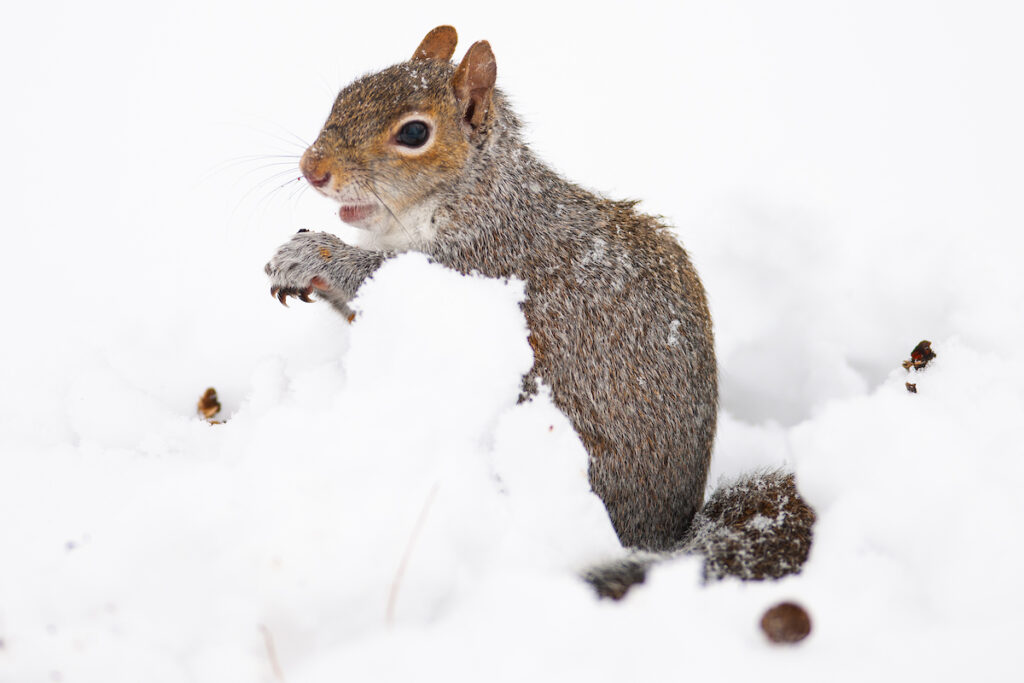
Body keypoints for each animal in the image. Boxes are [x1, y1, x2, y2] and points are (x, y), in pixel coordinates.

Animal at [265, 26, 813, 591]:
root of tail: (661, 538)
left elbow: (375, 280)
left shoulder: (480, 266)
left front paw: (310, 253)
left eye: (414, 133)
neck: (476, 196)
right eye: (346, 94)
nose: (311, 169)